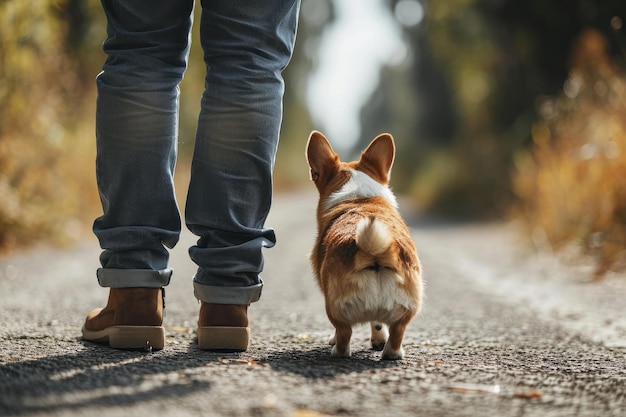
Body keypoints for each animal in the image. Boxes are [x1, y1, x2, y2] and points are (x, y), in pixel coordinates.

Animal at [304, 131, 422, 360]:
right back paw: (392, 352)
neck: (361, 199)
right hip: (408, 308)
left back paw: (336, 351)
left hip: (334, 308)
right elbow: (377, 324)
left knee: (344, 335)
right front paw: (378, 340)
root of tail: (374, 251)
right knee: (396, 334)